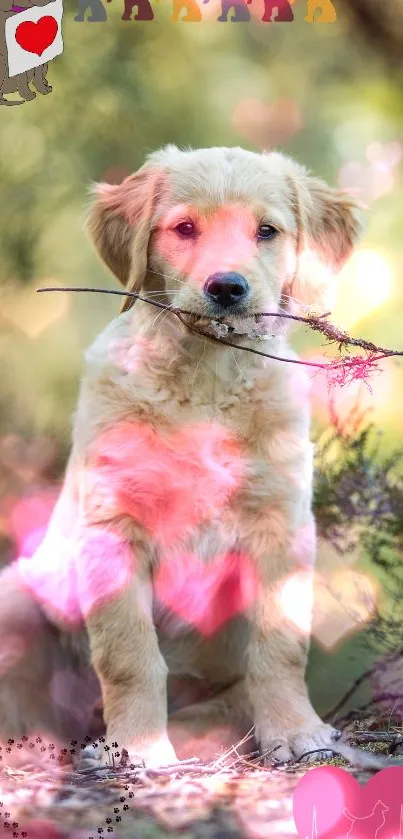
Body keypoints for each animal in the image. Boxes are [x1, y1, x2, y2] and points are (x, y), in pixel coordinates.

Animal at [0, 146, 362, 768]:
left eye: (267, 231)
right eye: (185, 229)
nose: (228, 287)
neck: (207, 383)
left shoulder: (282, 524)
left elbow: (280, 644)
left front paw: (296, 731)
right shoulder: (113, 529)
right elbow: (129, 655)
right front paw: (138, 749)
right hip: (16, 600)